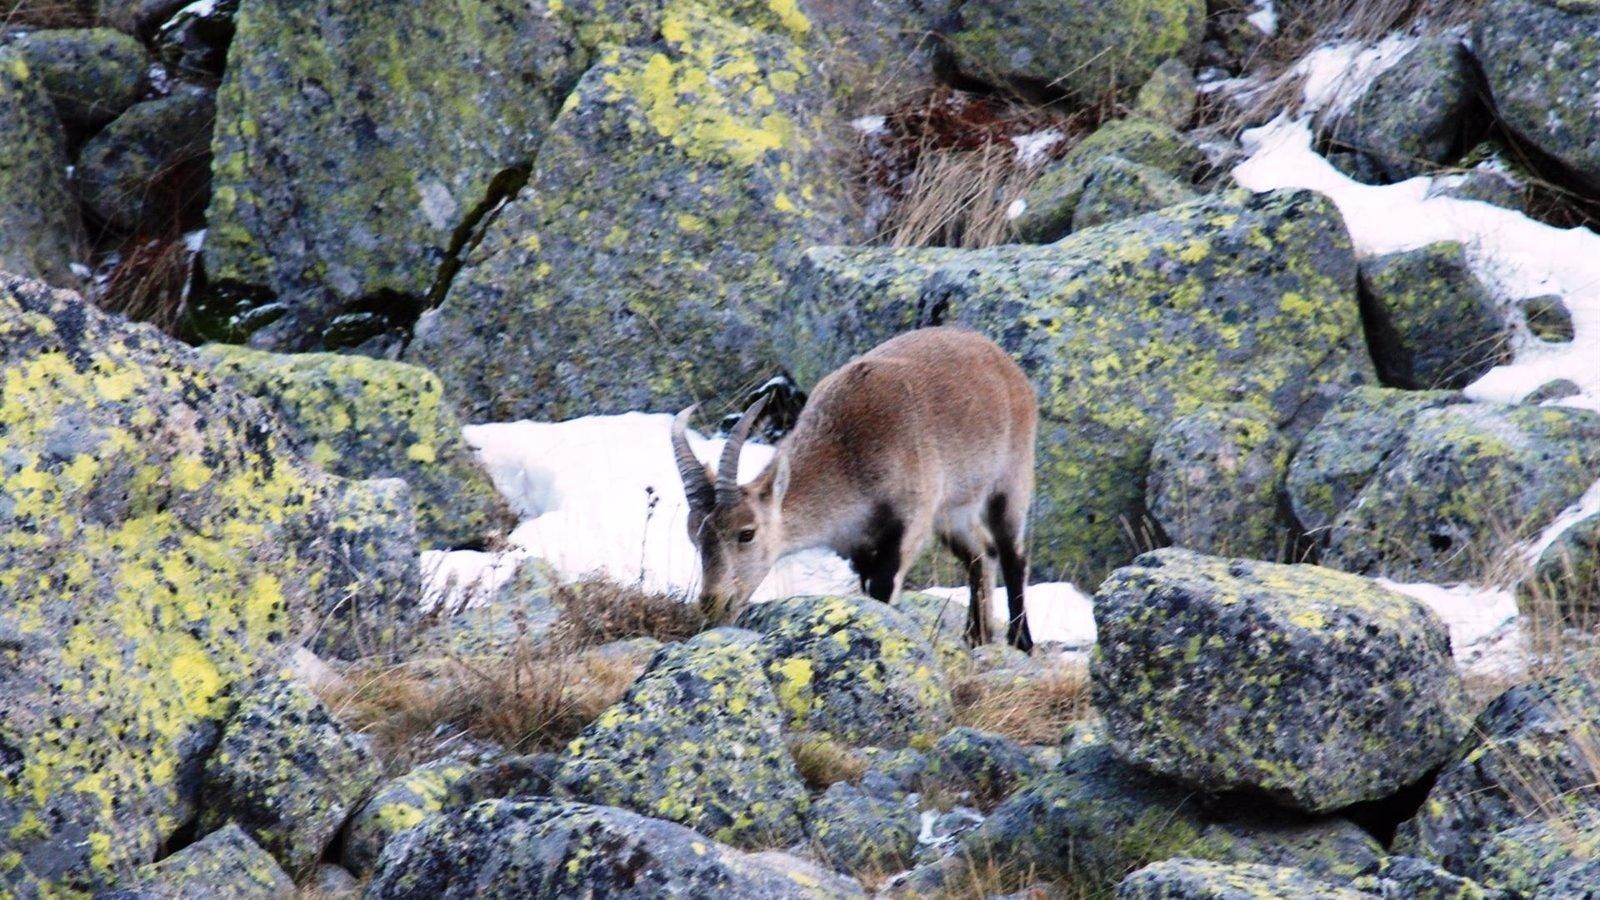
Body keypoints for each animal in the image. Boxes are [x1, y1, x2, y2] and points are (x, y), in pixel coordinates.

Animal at [670, 326, 1038, 651]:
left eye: (746, 533)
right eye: (694, 537)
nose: (713, 603)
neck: (848, 454)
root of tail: (1004, 362)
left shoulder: (911, 519)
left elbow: (882, 588)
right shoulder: (854, 541)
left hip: (1010, 480)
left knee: (1012, 554)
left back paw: (1020, 640)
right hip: (953, 511)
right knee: (980, 554)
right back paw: (977, 636)